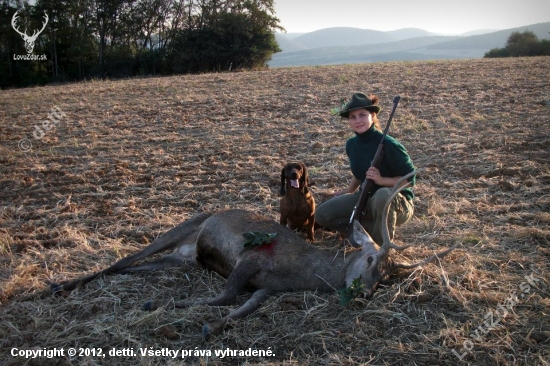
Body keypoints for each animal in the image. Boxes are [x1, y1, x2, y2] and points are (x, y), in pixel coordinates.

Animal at [50, 170, 458, 338]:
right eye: (371, 260)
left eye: (387, 279)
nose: (365, 292)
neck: (300, 274)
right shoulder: (251, 259)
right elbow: (226, 294)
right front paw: (167, 307)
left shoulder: (267, 287)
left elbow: (243, 306)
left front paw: (212, 326)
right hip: (182, 227)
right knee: (122, 261)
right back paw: (58, 285)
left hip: (181, 257)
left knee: (133, 268)